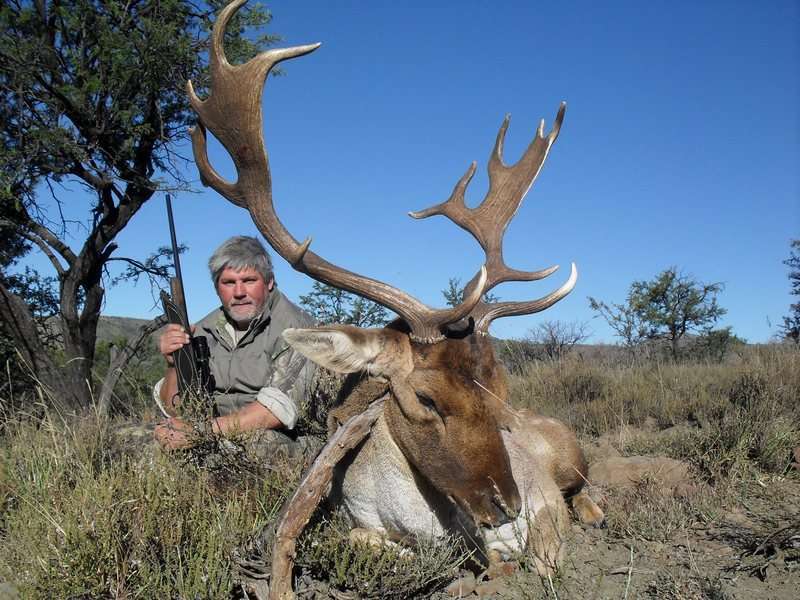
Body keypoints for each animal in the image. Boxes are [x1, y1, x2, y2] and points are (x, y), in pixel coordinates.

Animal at [187, 1, 604, 594]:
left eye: (499, 389)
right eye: (427, 399)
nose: (507, 505)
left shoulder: (543, 506)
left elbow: (544, 555)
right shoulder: (362, 526)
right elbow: (382, 547)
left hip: (569, 454)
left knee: (586, 485)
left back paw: (594, 511)